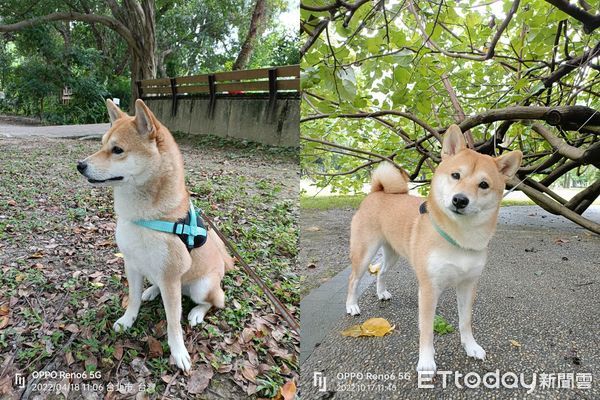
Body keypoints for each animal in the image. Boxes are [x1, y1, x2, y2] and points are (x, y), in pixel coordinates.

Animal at [77, 99, 232, 372]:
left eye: (117, 150)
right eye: (102, 145)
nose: (80, 165)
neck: (143, 217)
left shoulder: (170, 277)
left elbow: (173, 322)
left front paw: (179, 352)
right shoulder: (131, 263)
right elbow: (132, 299)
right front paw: (128, 320)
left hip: (201, 287)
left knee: (212, 302)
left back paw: (196, 313)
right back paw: (151, 291)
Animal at [346, 125, 520, 376]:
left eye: (484, 185)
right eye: (456, 175)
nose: (460, 200)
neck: (459, 239)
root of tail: (378, 192)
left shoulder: (468, 285)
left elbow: (465, 321)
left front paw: (471, 346)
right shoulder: (429, 289)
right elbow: (427, 329)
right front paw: (426, 362)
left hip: (393, 253)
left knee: (382, 272)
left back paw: (381, 292)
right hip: (364, 251)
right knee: (353, 279)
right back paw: (352, 305)